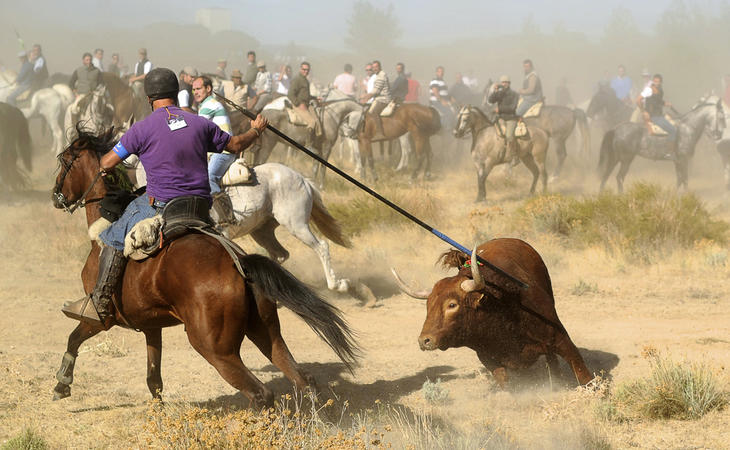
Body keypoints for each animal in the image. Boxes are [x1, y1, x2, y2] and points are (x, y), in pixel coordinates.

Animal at [50, 127, 358, 408]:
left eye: (65, 160)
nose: (56, 196)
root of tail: (240, 265)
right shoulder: (151, 324)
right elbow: (154, 376)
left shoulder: (102, 319)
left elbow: (73, 338)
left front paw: (62, 384)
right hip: (266, 326)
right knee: (301, 377)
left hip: (216, 346)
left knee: (262, 392)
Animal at [392, 239, 592, 386]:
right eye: (428, 305)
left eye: (452, 305)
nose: (424, 340)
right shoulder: (488, 358)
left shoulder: (561, 339)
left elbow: (582, 373)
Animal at [596, 96, 724, 192]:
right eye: (721, 117)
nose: (719, 134)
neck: (687, 128)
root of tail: (616, 129)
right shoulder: (684, 159)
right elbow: (685, 179)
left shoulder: (677, 161)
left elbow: (679, 179)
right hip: (626, 159)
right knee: (619, 177)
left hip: (615, 158)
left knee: (606, 175)